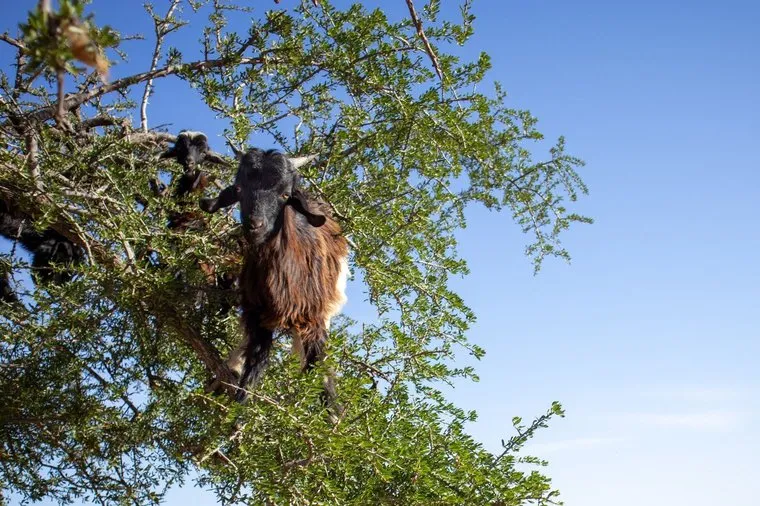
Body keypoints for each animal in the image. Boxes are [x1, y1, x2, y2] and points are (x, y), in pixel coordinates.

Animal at [200, 147, 349, 403]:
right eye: (239, 188)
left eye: (285, 194)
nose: (255, 225)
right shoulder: (257, 312)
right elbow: (255, 364)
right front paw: (239, 405)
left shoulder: (314, 318)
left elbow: (321, 375)